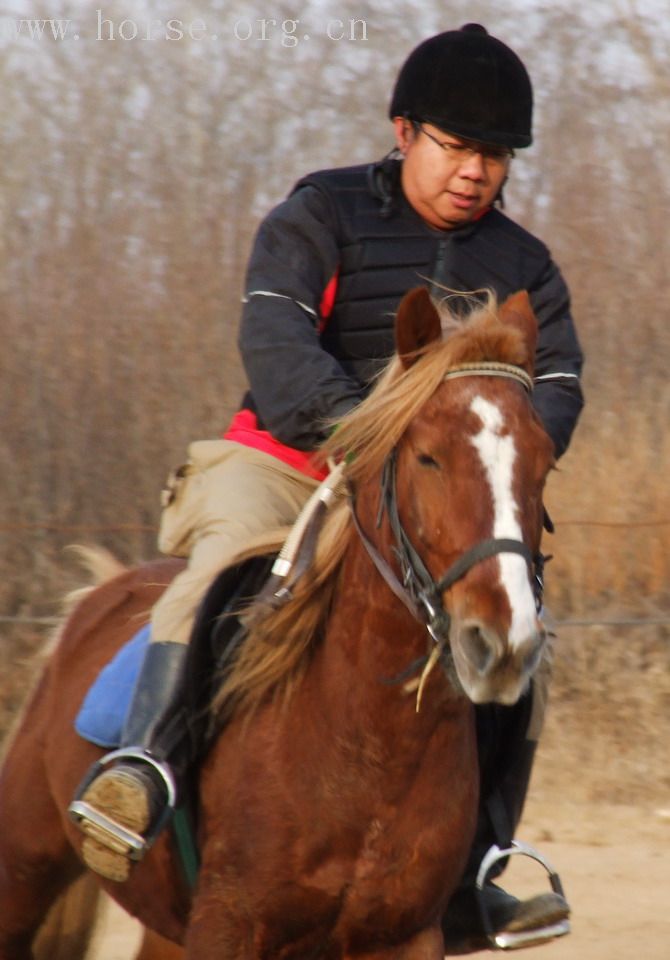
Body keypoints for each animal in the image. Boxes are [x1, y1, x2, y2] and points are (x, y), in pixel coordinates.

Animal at [0, 288, 556, 956]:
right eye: (428, 458)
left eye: (545, 464)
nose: (501, 645)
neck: (367, 743)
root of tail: (97, 595)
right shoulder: (228, 925)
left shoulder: (407, 935)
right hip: (24, 869)